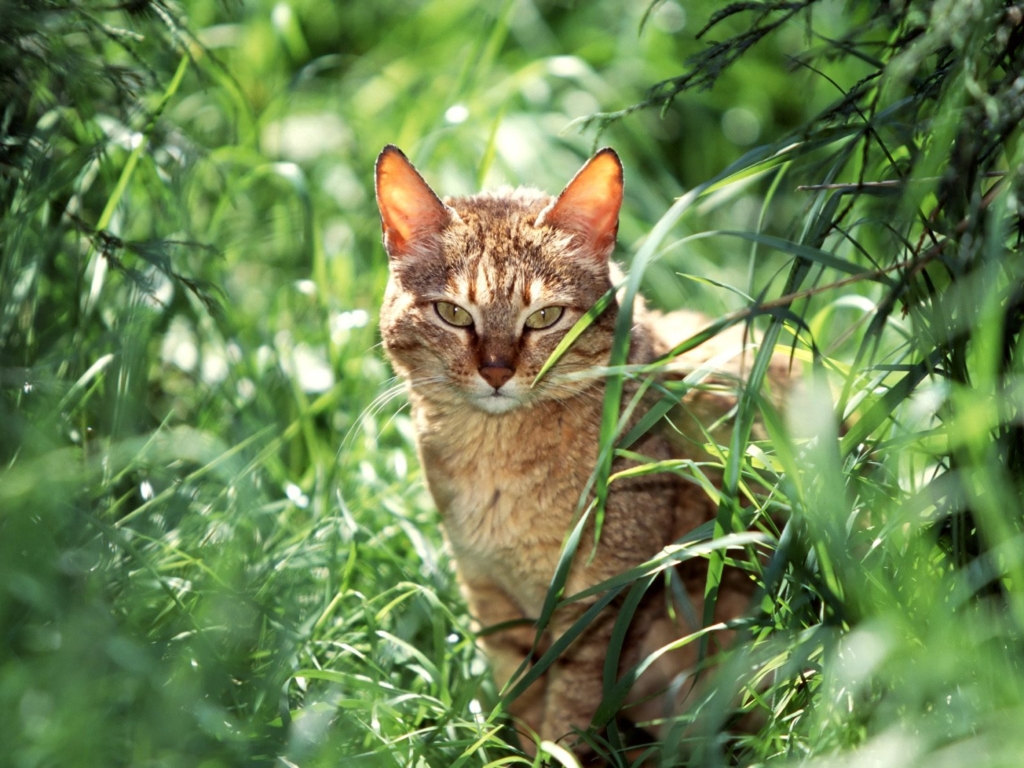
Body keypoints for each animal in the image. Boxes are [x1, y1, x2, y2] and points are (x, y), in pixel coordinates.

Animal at [372, 145, 770, 765]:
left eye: (544, 317)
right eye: (453, 313)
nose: (496, 371)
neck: (497, 465)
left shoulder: (601, 603)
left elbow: (570, 712)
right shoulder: (492, 599)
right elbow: (521, 696)